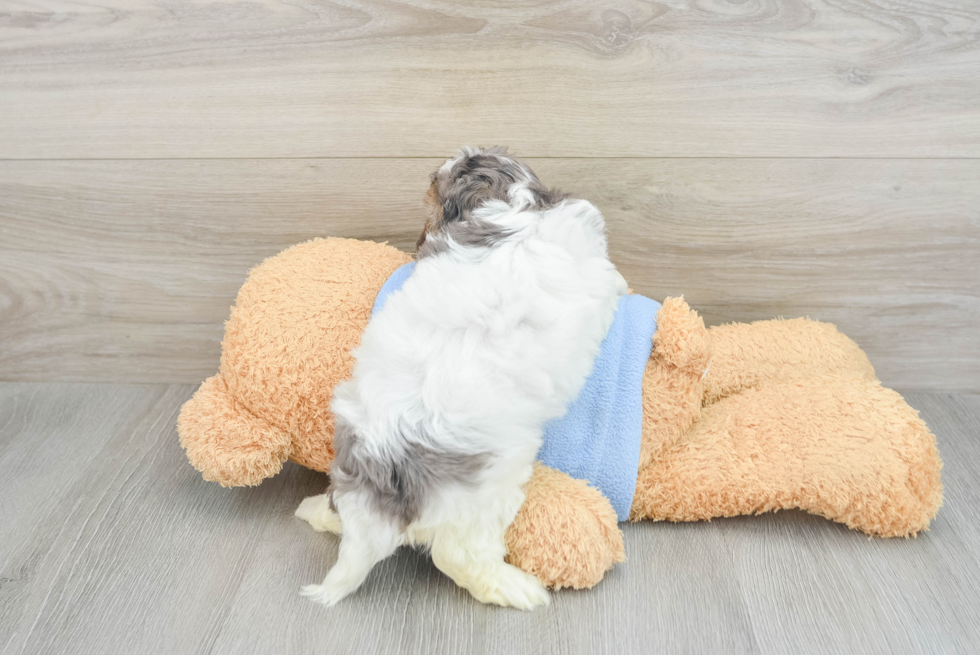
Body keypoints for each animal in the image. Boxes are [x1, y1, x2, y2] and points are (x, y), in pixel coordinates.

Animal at [294, 147, 628, 608]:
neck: (514, 204)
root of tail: (383, 468)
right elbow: (612, 278)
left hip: (347, 459)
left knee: (340, 509)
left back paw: (314, 511)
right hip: (486, 494)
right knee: (457, 557)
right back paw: (516, 588)